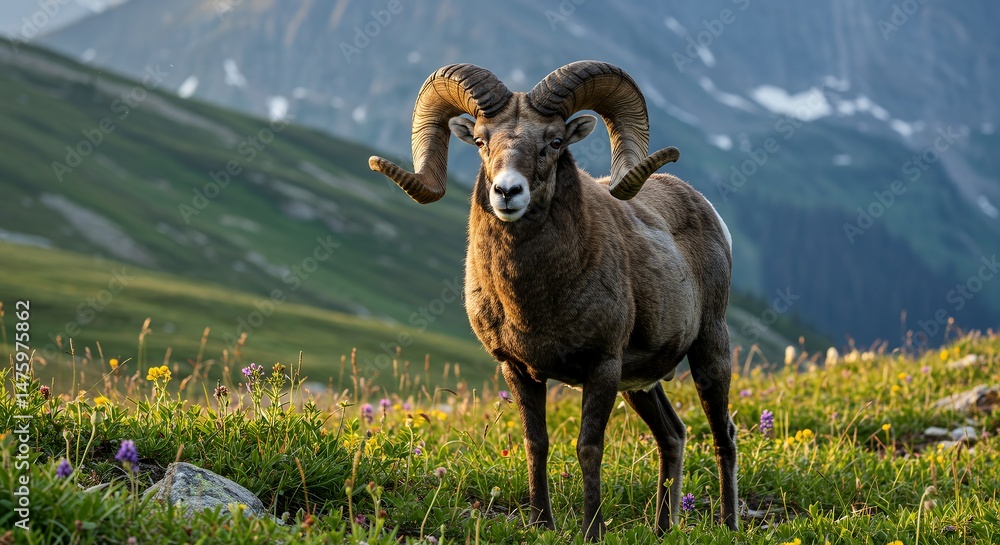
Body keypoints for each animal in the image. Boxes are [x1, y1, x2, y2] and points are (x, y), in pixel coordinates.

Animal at [369, 60, 738, 539]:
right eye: (482, 141)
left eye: (555, 141)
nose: (507, 192)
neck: (534, 303)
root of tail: (706, 208)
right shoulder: (517, 368)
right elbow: (536, 443)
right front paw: (541, 523)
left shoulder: (602, 367)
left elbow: (588, 448)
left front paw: (591, 531)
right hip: (641, 384)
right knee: (672, 436)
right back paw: (662, 529)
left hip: (710, 350)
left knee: (723, 434)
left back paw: (729, 525)